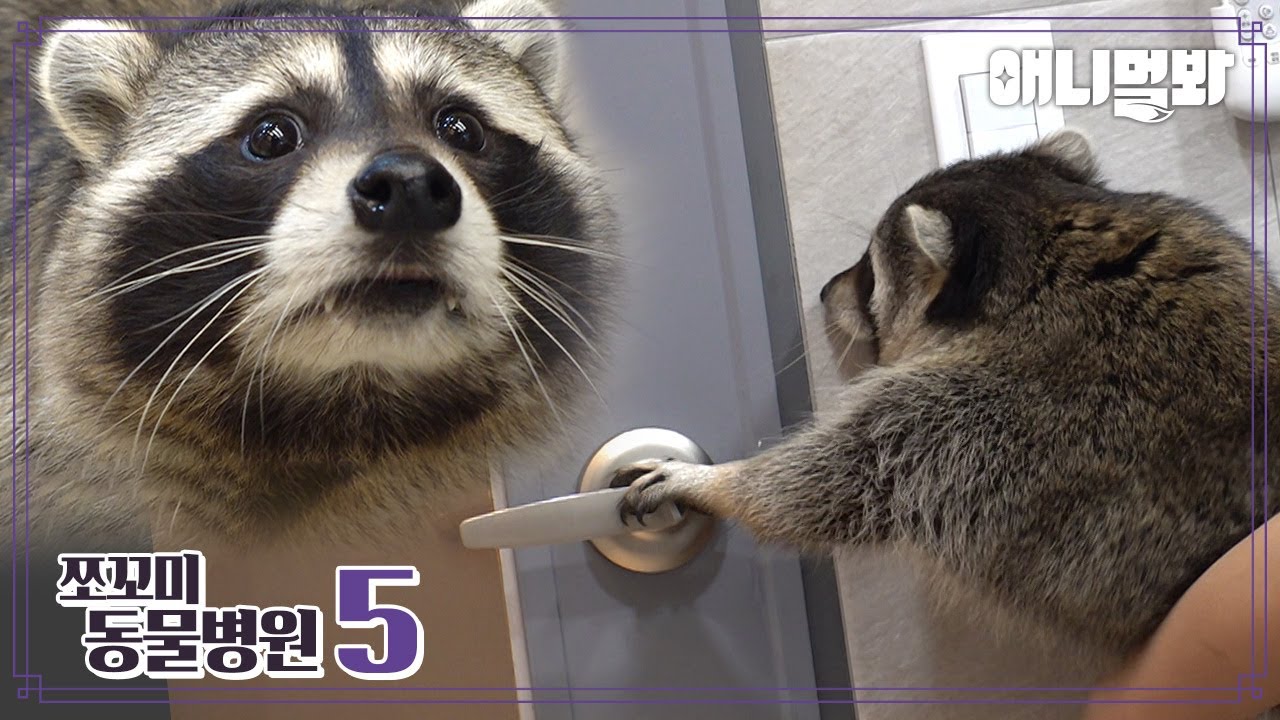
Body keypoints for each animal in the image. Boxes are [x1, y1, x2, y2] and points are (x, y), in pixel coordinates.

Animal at [619, 129, 1280, 671]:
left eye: (870, 271)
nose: (825, 289)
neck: (1045, 250)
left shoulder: (973, 419)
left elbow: (830, 488)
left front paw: (715, 483)